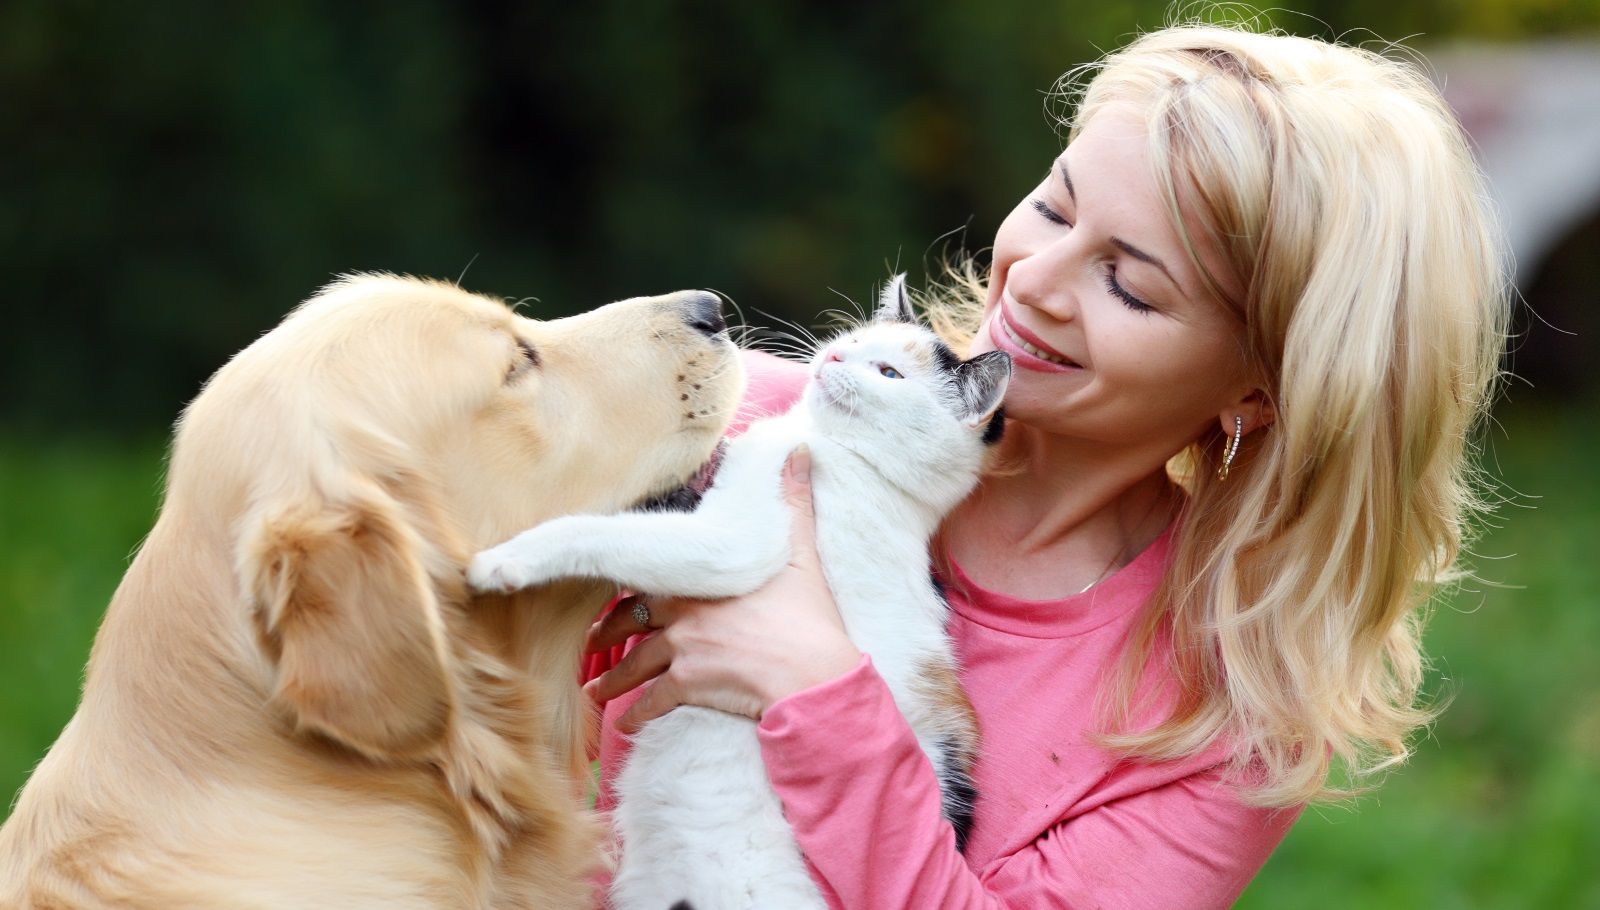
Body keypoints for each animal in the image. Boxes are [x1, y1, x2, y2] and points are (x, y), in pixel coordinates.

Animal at [467, 278, 1004, 908]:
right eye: (853, 342)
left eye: (889, 373)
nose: (834, 358)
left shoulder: (741, 544)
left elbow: (603, 532)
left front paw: (505, 559)